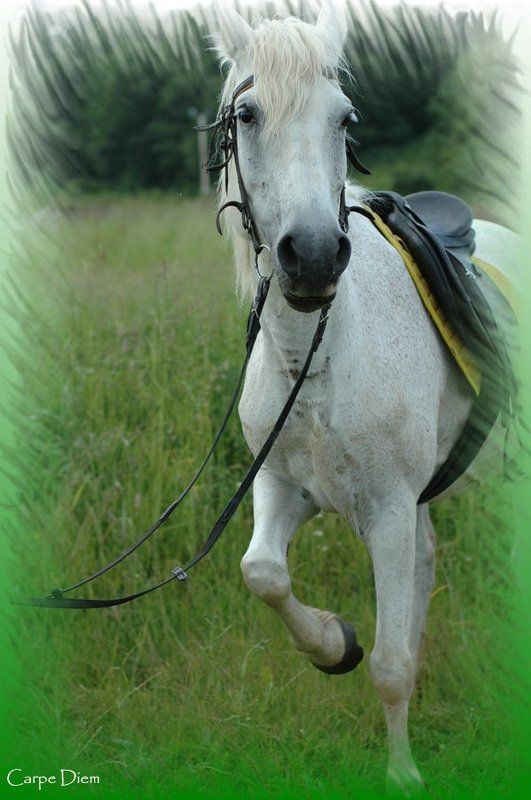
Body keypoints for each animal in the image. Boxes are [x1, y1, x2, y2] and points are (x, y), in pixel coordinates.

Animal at [210, 1, 521, 793]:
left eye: (344, 119)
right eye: (247, 114)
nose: (314, 256)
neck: (318, 354)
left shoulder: (386, 511)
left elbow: (387, 666)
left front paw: (402, 774)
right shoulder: (283, 488)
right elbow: (262, 574)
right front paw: (332, 643)